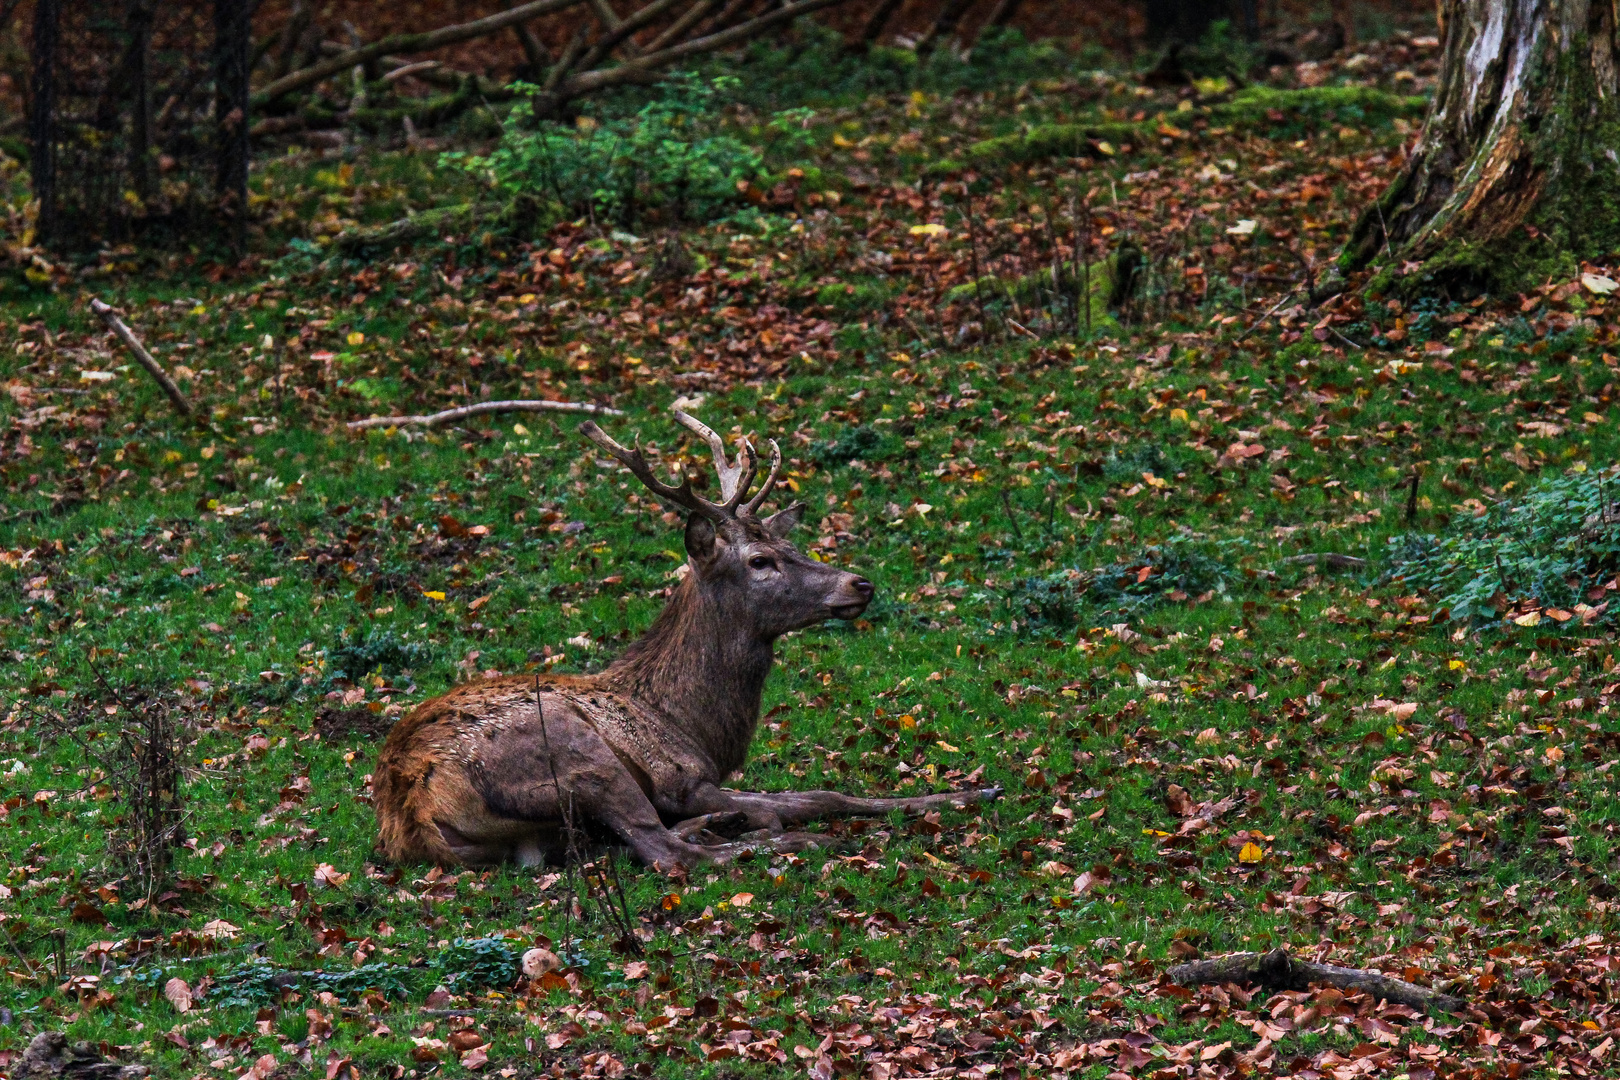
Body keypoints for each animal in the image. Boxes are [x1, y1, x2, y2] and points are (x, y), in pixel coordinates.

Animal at [377, 404, 997, 867]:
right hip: (575, 754)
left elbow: (828, 792)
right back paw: (777, 840)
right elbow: (792, 804)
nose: (859, 583)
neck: (694, 723)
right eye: (760, 560)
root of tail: (413, 808)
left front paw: (975, 791)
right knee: (664, 850)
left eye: (790, 544)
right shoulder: (681, 778)